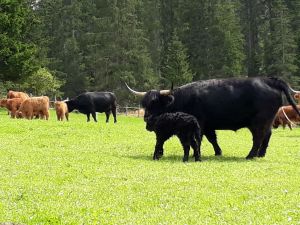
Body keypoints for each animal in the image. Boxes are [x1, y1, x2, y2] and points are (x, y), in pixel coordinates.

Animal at [126, 77, 300, 160]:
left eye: (155, 102)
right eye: (144, 103)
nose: (146, 118)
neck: (182, 98)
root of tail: (269, 80)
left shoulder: (199, 123)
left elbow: (199, 140)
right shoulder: (208, 125)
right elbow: (212, 139)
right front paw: (218, 152)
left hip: (258, 121)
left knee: (258, 137)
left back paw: (250, 155)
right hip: (266, 121)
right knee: (267, 135)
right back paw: (260, 154)